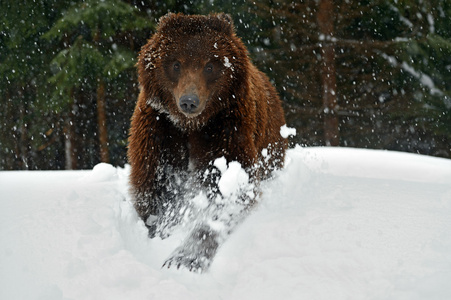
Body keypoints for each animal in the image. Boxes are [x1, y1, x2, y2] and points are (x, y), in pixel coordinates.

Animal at [129, 13, 288, 272]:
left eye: (209, 65)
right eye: (176, 64)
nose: (189, 101)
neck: (191, 126)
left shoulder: (226, 129)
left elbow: (231, 191)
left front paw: (184, 258)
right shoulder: (159, 132)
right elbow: (155, 190)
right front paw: (164, 228)